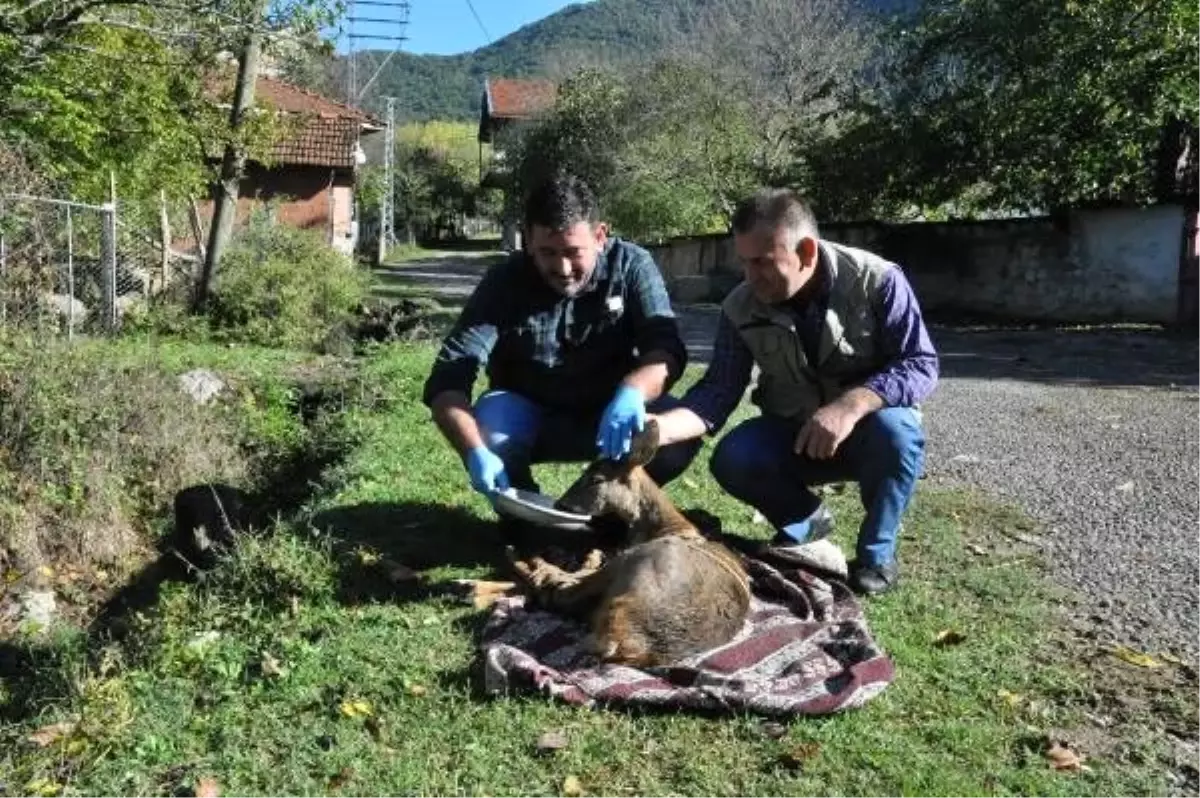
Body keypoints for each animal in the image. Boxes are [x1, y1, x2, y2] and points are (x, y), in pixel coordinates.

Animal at [504, 417, 748, 667]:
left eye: (596, 479)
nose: (559, 504)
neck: (668, 527)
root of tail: (624, 641)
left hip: (636, 563)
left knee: (557, 592)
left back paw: (532, 562)